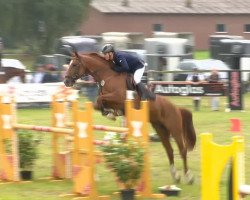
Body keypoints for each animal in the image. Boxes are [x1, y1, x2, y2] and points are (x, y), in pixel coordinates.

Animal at [63, 52, 196, 184]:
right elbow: (98, 103)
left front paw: (111, 113)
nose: (66, 82)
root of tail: (177, 108)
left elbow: (101, 99)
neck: (107, 77)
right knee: (169, 150)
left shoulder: (120, 98)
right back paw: (176, 176)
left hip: (175, 129)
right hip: (161, 129)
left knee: (182, 150)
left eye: (74, 64)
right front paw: (110, 113)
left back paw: (188, 177)